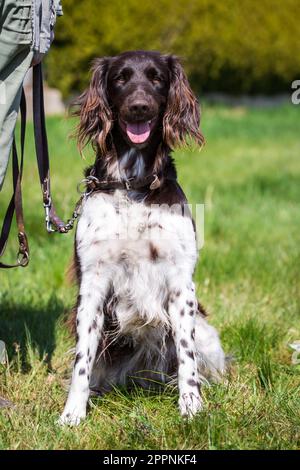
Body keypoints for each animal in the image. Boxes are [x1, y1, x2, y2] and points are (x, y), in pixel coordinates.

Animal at [58, 50, 224, 426]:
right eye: (120, 78)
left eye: (156, 78)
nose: (139, 107)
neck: (132, 185)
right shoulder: (93, 282)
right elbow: (81, 362)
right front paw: (72, 414)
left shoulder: (180, 282)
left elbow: (187, 356)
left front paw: (191, 407)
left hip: (207, 331)